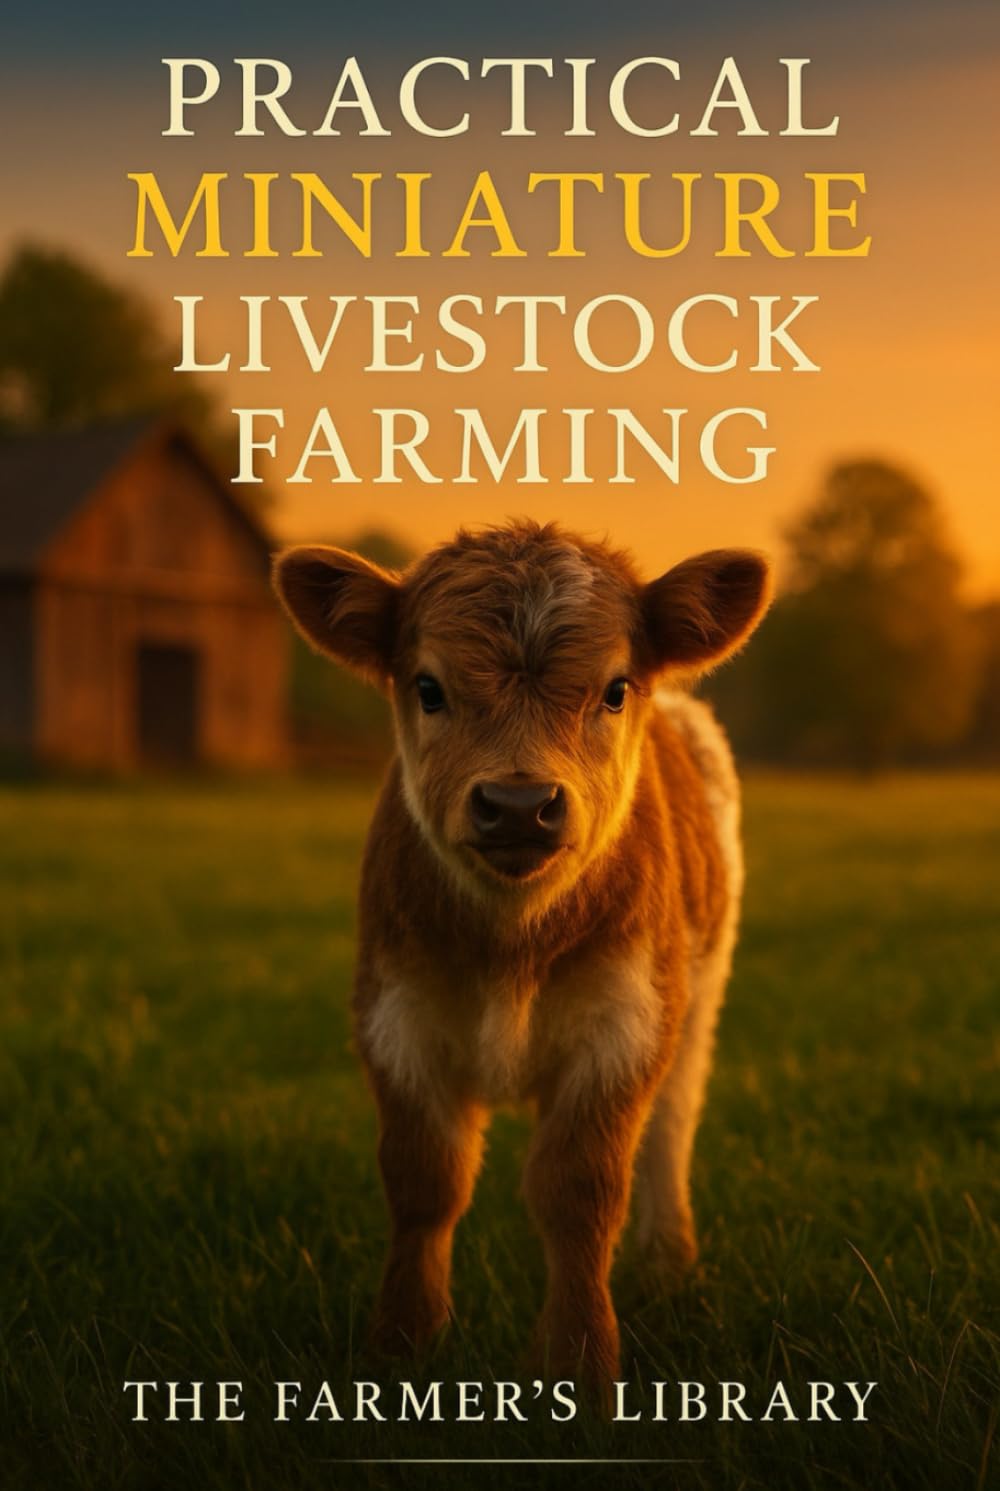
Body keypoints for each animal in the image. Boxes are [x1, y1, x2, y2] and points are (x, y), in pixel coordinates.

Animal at [273, 520, 771, 1390]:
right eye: (429, 687)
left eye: (614, 689)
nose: (517, 805)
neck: (512, 941)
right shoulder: (394, 1018)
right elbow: (425, 1180)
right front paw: (402, 1343)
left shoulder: (627, 1024)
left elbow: (579, 1191)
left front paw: (579, 1362)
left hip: (699, 1001)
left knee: (671, 1127)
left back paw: (669, 1259)